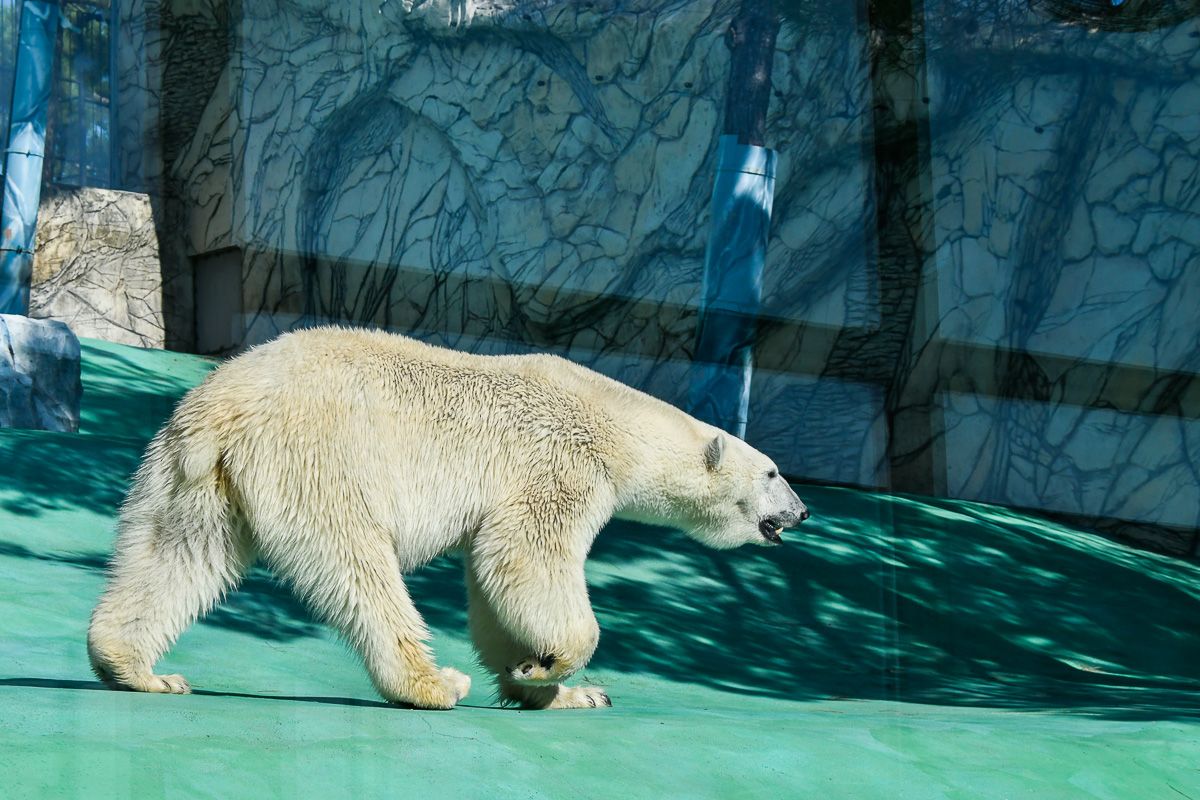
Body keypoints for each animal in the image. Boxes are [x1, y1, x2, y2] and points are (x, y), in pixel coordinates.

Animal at [87, 328, 806, 710]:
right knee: (361, 573)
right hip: (320, 461)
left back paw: (139, 669)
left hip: (191, 476)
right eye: (773, 471)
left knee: (174, 556)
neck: (617, 424)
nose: (801, 511)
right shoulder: (558, 466)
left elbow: (492, 590)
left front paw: (551, 686)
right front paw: (557, 667)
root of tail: (223, 407)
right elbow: (529, 560)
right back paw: (433, 682)